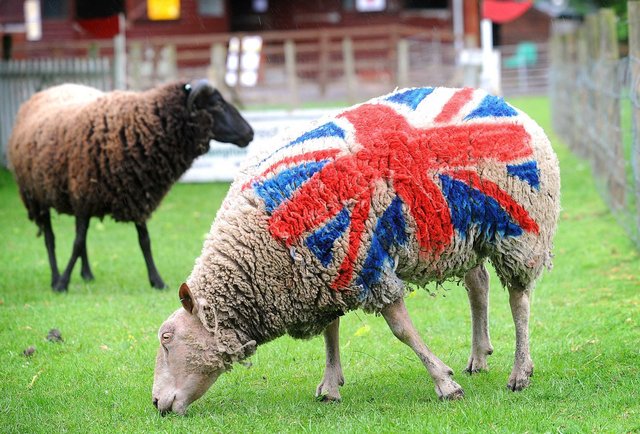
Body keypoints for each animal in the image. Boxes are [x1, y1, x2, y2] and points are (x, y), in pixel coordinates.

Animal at [7, 79, 254, 292]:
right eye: (218, 104)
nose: (250, 133)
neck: (137, 125)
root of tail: (45, 91)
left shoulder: (138, 193)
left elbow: (144, 241)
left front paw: (157, 281)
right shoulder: (84, 196)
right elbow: (76, 243)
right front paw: (62, 284)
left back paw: (87, 274)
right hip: (37, 196)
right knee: (51, 239)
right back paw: (55, 276)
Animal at [151, 86, 560, 415]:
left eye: (166, 338)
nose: (156, 402)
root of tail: (500, 101)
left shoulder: (366, 264)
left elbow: (402, 331)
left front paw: (444, 383)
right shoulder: (327, 269)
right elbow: (331, 331)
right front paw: (331, 385)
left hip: (517, 233)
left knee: (519, 300)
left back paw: (520, 372)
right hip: (463, 232)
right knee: (479, 285)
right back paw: (479, 356)